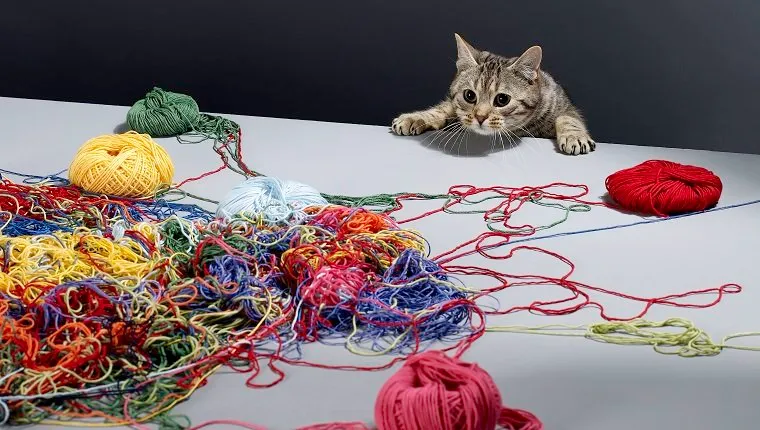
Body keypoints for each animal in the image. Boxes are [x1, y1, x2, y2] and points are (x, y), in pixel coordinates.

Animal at [392, 34, 592, 156]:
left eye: (502, 99)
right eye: (469, 96)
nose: (480, 117)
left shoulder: (565, 105)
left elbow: (568, 119)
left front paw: (574, 136)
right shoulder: (453, 107)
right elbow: (441, 109)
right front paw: (414, 117)